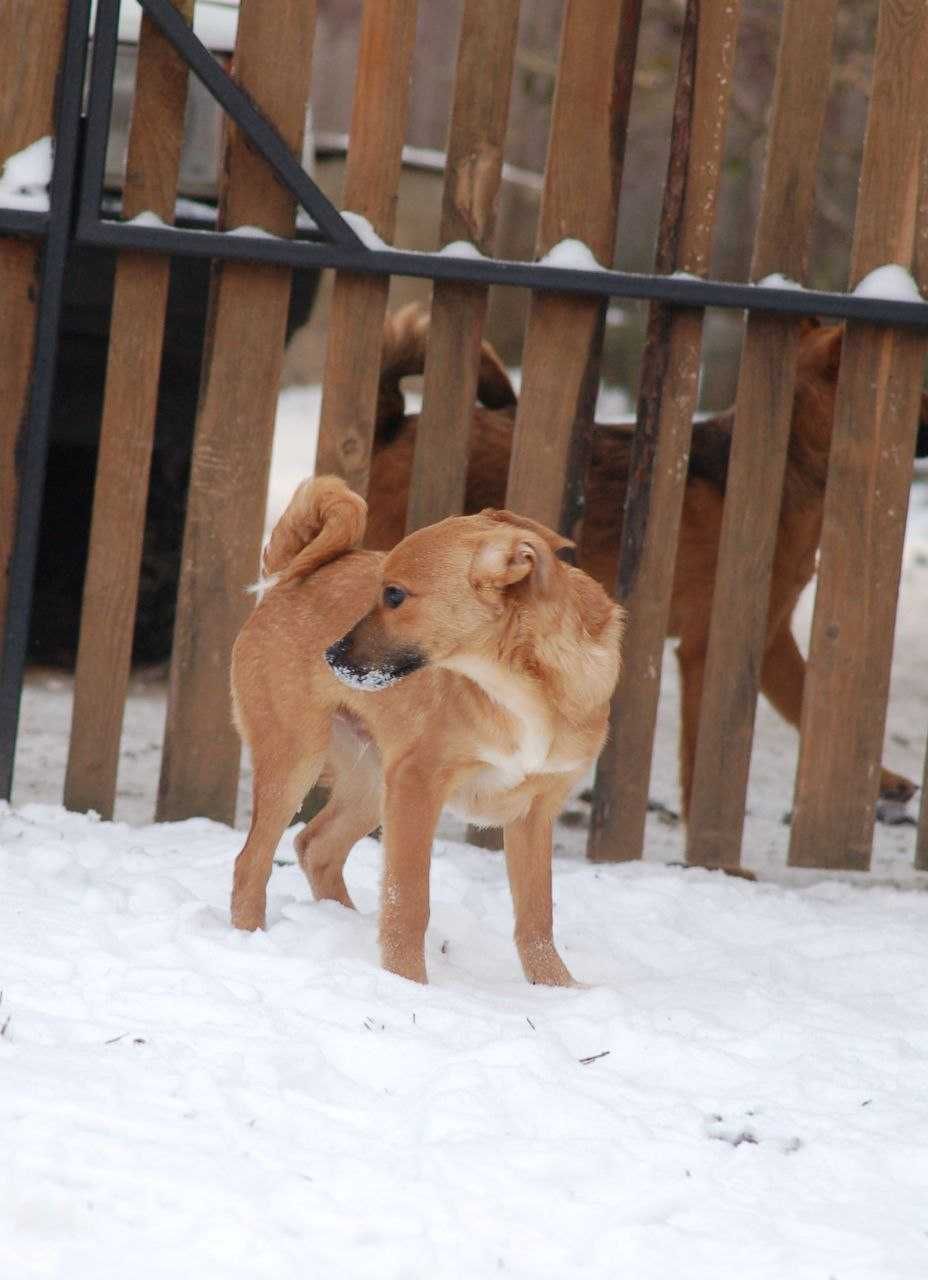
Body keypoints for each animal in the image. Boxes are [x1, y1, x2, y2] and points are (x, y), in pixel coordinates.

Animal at [230, 476, 622, 983]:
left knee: (316, 846)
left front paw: (556, 988)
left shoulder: (534, 813)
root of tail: (287, 578)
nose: (331, 656)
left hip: (371, 782)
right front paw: (407, 983)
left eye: (395, 595)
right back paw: (249, 943)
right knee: (250, 864)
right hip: (295, 759)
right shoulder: (418, 784)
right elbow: (409, 900)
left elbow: (537, 917)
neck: (521, 687)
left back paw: (342, 925)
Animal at [360, 304, 921, 814]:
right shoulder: (712, 649)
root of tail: (392, 424)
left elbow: (809, 706)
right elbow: (701, 758)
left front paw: (883, 781)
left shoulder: (767, 643)